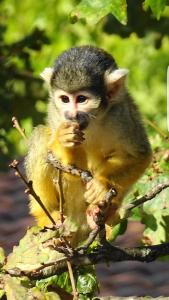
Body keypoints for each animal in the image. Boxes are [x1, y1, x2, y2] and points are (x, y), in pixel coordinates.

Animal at [24, 45, 152, 245]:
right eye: (65, 99)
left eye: (81, 99)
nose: (71, 115)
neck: (93, 120)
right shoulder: (55, 111)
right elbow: (69, 167)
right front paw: (65, 139)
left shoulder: (121, 113)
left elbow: (139, 155)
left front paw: (101, 183)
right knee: (41, 137)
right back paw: (47, 214)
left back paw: (103, 212)